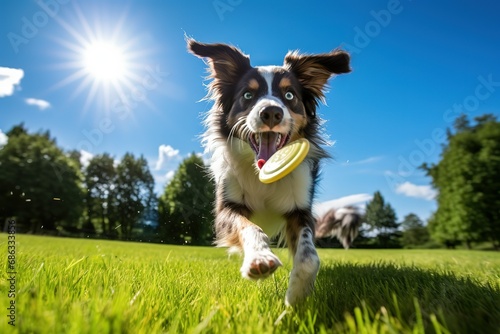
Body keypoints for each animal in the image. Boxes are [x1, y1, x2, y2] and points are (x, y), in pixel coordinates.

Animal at [188, 39, 356, 306]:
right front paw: (259, 259)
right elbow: (249, 227)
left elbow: (309, 256)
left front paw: (297, 296)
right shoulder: (227, 207)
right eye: (247, 95)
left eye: (289, 95)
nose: (270, 112)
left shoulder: (300, 209)